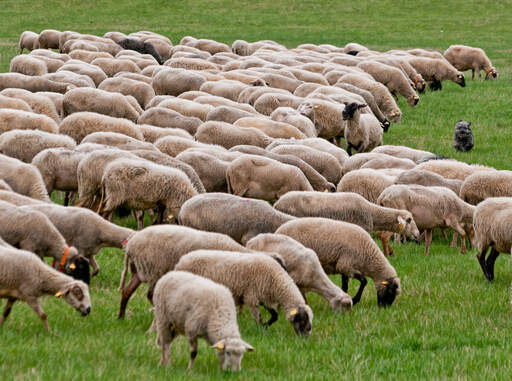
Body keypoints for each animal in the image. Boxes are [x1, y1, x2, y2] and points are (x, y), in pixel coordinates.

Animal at [118, 224, 250, 320]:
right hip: (155, 271)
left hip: (138, 271)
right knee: (150, 295)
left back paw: (121, 317)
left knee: (126, 292)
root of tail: (130, 245)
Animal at [175, 249, 312, 336]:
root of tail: (181, 261)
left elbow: (275, 316)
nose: (305, 339)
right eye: (303, 320)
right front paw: (261, 331)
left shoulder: (264, 298)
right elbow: (257, 318)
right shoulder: (251, 297)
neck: (276, 281)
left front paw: (266, 326)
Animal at [274, 217, 402, 306]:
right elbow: (364, 281)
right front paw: (355, 299)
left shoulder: (343, 267)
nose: (384, 308)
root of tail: (278, 230)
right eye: (390, 291)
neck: (368, 256)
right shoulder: (346, 265)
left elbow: (345, 285)